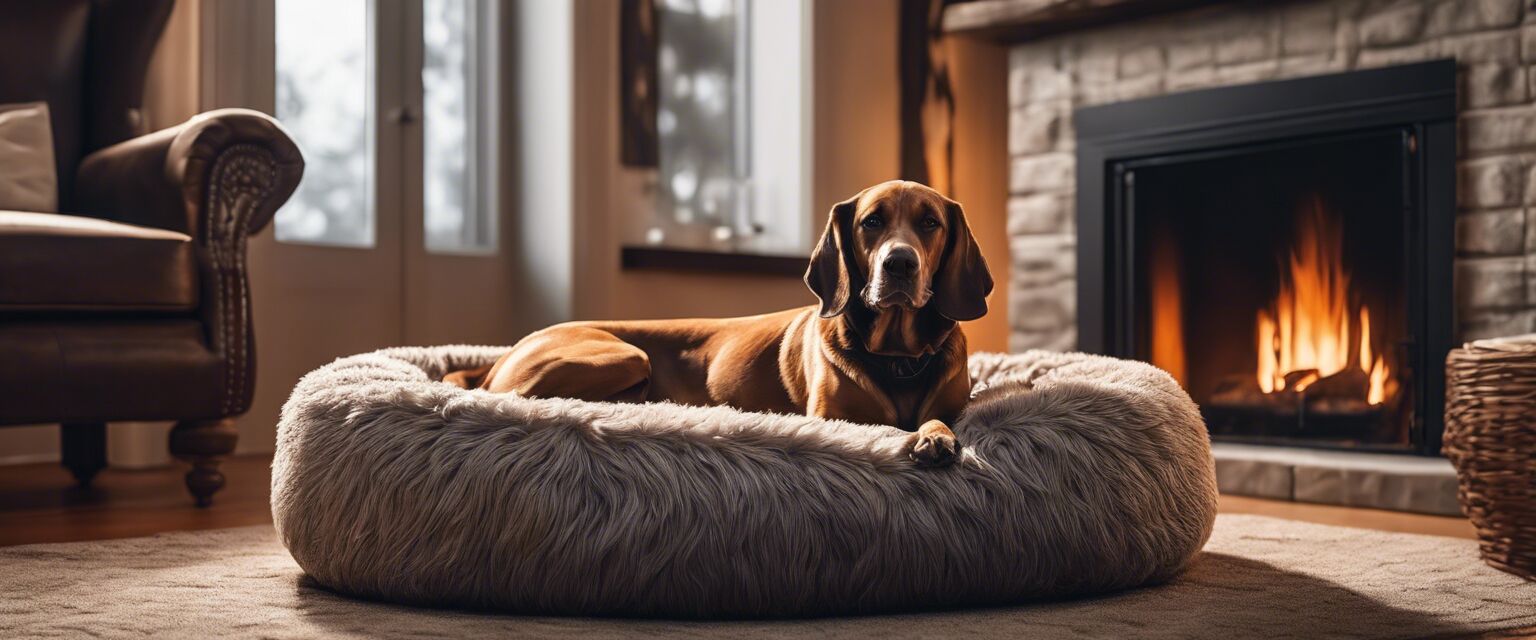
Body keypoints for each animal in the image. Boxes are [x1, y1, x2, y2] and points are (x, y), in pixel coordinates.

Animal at [445, 179, 995, 463]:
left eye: (930, 222)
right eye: (871, 221)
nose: (899, 264)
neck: (896, 357)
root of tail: (505, 353)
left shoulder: (951, 403)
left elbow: (940, 417)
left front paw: (934, 435)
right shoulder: (832, 417)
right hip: (625, 355)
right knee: (514, 400)